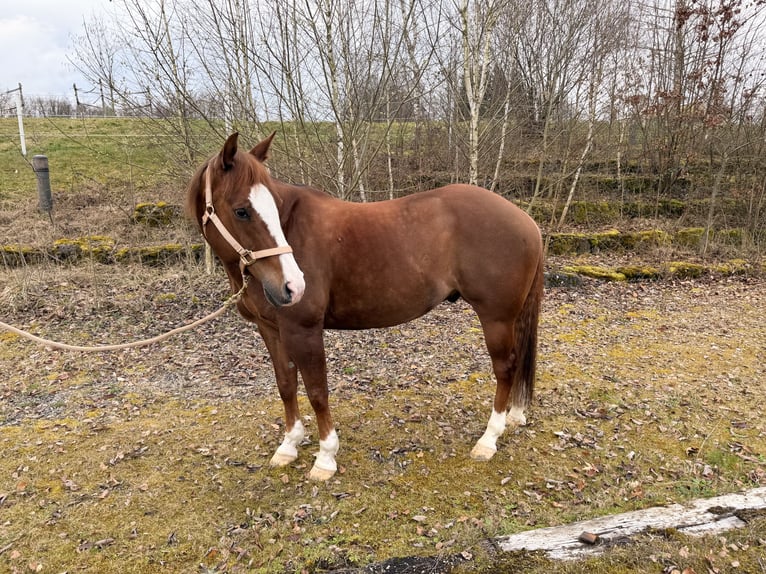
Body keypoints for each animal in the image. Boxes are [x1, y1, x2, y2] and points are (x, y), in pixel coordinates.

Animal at [186, 132, 544, 481]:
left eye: (272, 207)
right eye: (241, 210)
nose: (293, 285)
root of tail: (527, 221)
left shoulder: (303, 330)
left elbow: (317, 391)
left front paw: (325, 458)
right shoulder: (271, 329)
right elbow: (286, 385)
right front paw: (288, 446)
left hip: (496, 318)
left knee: (505, 368)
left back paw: (489, 439)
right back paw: (514, 416)